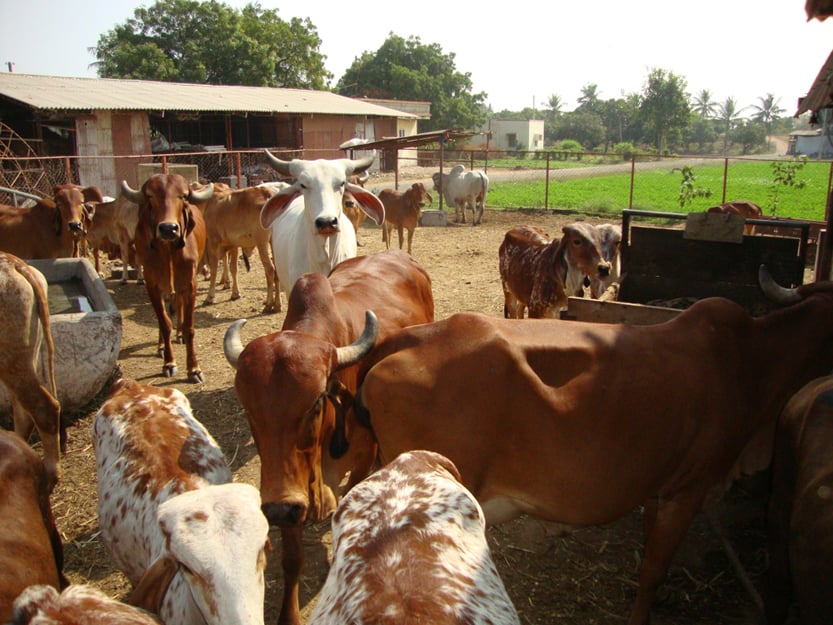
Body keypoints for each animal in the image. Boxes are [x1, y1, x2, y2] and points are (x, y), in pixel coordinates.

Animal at [120, 174, 211, 383]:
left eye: (183, 196)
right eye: (150, 196)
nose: (169, 228)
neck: (168, 252)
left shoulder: (189, 284)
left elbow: (189, 326)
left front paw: (194, 369)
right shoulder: (152, 285)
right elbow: (164, 323)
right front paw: (169, 363)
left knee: (179, 307)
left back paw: (179, 336)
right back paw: (162, 346)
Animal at [201, 184, 279, 313]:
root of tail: (267, 195)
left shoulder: (213, 242)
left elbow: (214, 269)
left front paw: (210, 297)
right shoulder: (232, 245)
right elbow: (232, 267)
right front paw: (234, 293)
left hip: (261, 242)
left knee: (270, 269)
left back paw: (268, 304)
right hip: (273, 242)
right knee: (277, 269)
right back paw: (277, 304)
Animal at [223, 250, 435, 625]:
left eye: (315, 402)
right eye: (249, 411)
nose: (277, 508)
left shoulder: (360, 459)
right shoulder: (288, 491)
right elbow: (292, 557)